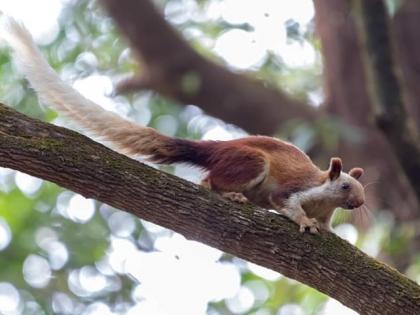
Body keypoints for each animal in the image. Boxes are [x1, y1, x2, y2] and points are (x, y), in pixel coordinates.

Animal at [0, 17, 364, 235]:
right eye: (346, 186)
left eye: (362, 189)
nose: (360, 204)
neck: (323, 199)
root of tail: (219, 149)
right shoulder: (295, 189)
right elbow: (285, 202)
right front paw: (304, 221)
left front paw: (329, 230)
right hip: (249, 162)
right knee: (209, 180)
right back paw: (230, 194)